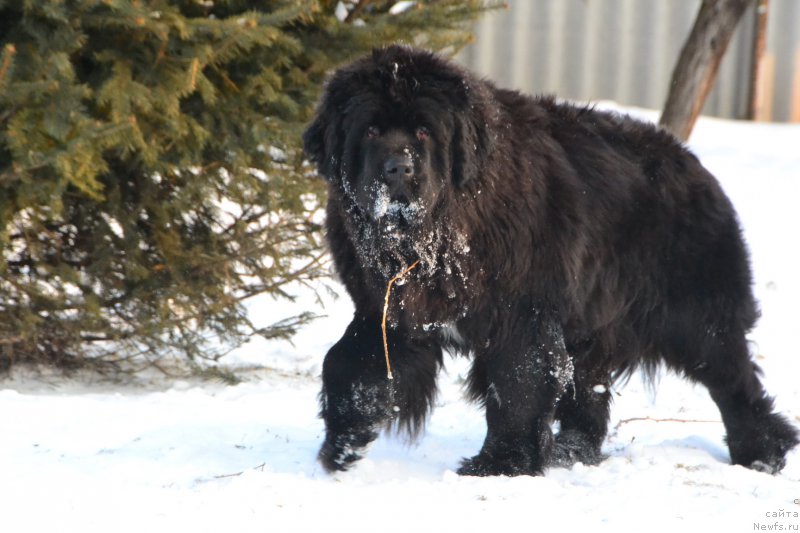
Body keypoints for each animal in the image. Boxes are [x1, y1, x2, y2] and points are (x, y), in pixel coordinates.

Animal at [304, 45, 796, 476]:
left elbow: (519, 384)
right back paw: (571, 451)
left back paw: (762, 453)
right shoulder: (385, 307)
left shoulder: (522, 313)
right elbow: (349, 365)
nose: (398, 169)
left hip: (695, 318)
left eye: (424, 131)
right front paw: (342, 445)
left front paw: (500, 464)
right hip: (591, 324)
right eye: (370, 130)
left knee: (734, 380)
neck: (438, 235)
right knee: (590, 392)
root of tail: (694, 163)